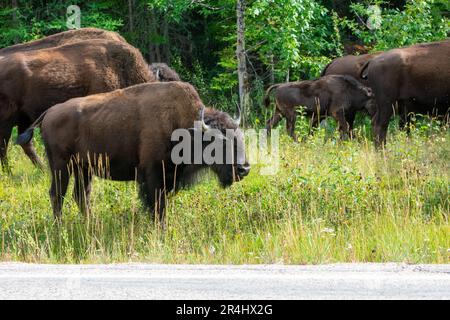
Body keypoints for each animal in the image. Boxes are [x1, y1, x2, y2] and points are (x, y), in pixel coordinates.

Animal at [0, 38, 155, 169]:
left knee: (25, 143)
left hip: (24, 118)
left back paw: (42, 169)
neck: (119, 69)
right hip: (8, 118)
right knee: (5, 146)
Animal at [17, 82, 250, 221]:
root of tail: (50, 112)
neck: (185, 128)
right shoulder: (153, 176)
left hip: (83, 168)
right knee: (57, 195)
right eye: (220, 143)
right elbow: (157, 206)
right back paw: (60, 227)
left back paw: (90, 223)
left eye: (240, 138)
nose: (244, 168)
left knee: (81, 195)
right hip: (61, 166)